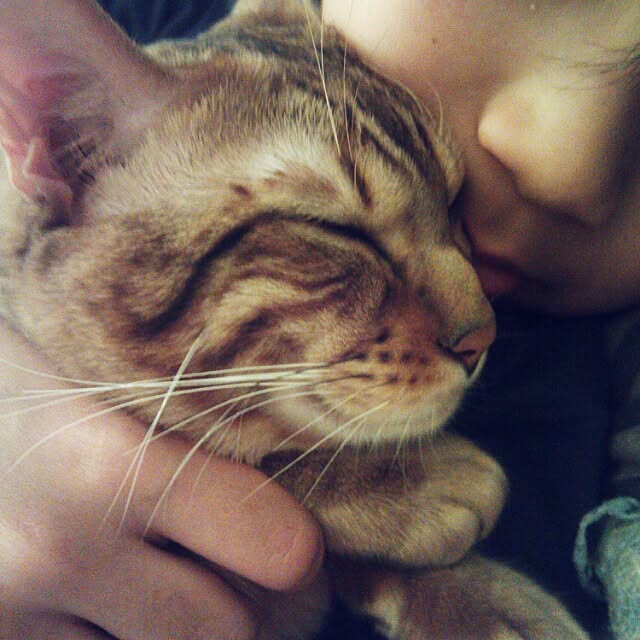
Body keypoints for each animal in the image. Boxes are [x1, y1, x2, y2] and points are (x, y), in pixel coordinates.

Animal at [0, 0, 589, 638]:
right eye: (335, 230)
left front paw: (478, 596)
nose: (483, 338)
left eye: (454, 202)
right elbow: (252, 450)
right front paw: (407, 483)